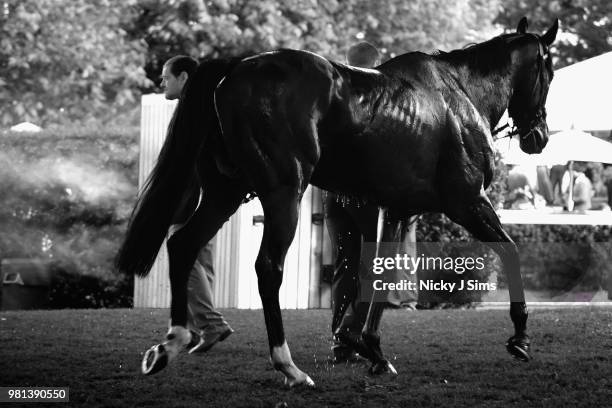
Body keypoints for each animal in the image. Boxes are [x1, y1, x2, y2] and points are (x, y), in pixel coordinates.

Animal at [117, 18, 556, 386]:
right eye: (548, 73)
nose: (539, 137)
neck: (459, 95)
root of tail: (234, 68)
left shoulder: (397, 210)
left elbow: (380, 274)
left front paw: (372, 348)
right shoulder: (467, 203)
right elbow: (511, 251)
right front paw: (520, 337)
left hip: (224, 193)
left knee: (183, 244)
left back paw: (172, 342)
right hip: (283, 194)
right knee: (267, 268)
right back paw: (288, 366)